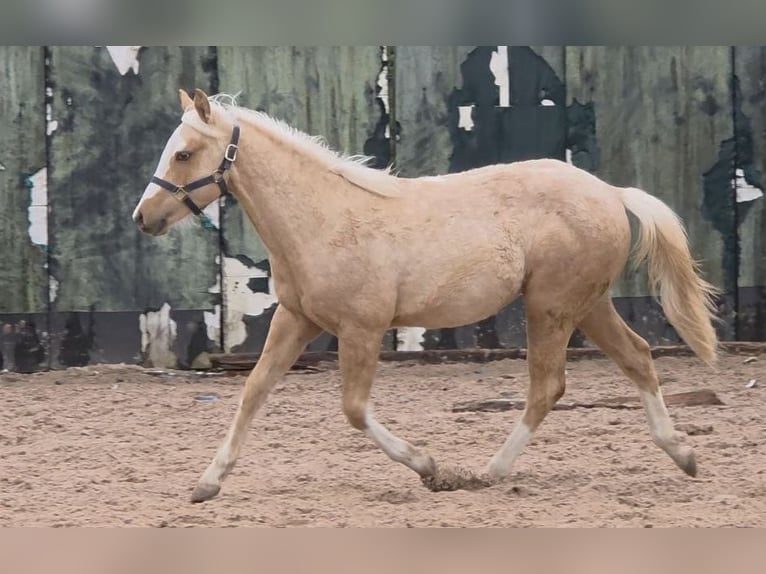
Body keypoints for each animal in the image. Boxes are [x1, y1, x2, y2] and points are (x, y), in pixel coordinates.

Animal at [133, 88, 719, 503]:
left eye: (183, 153)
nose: (143, 218)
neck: (323, 220)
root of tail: (611, 193)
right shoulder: (295, 320)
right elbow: (254, 391)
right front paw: (207, 484)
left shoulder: (362, 329)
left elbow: (353, 409)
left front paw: (430, 469)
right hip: (587, 305)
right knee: (637, 358)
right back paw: (684, 455)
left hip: (550, 307)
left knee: (547, 387)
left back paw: (484, 472)